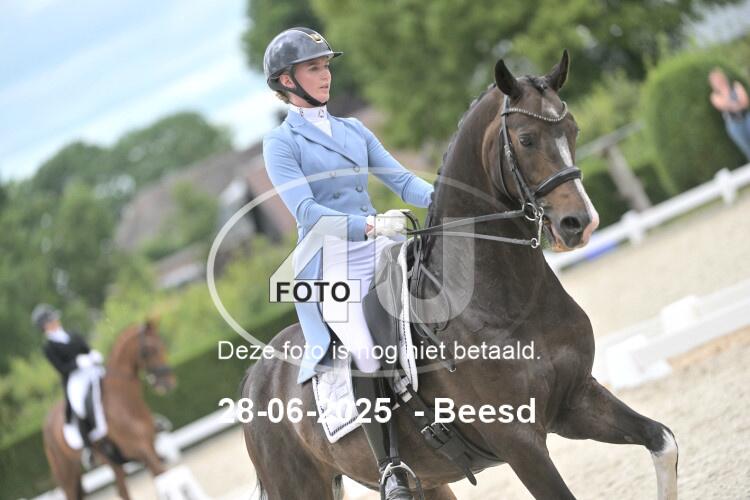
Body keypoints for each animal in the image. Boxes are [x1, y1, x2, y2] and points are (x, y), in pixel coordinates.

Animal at [42, 318, 176, 500]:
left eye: (162, 345)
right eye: (147, 351)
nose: (169, 384)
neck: (126, 405)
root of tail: (47, 421)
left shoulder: (152, 451)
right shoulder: (144, 453)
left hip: (111, 462)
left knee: (121, 489)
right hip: (67, 474)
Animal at [241, 51, 678, 500]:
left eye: (572, 129)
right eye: (526, 139)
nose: (579, 224)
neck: (502, 304)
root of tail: (256, 374)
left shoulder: (577, 401)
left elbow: (662, 441)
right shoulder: (519, 442)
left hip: (430, 482)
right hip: (299, 485)